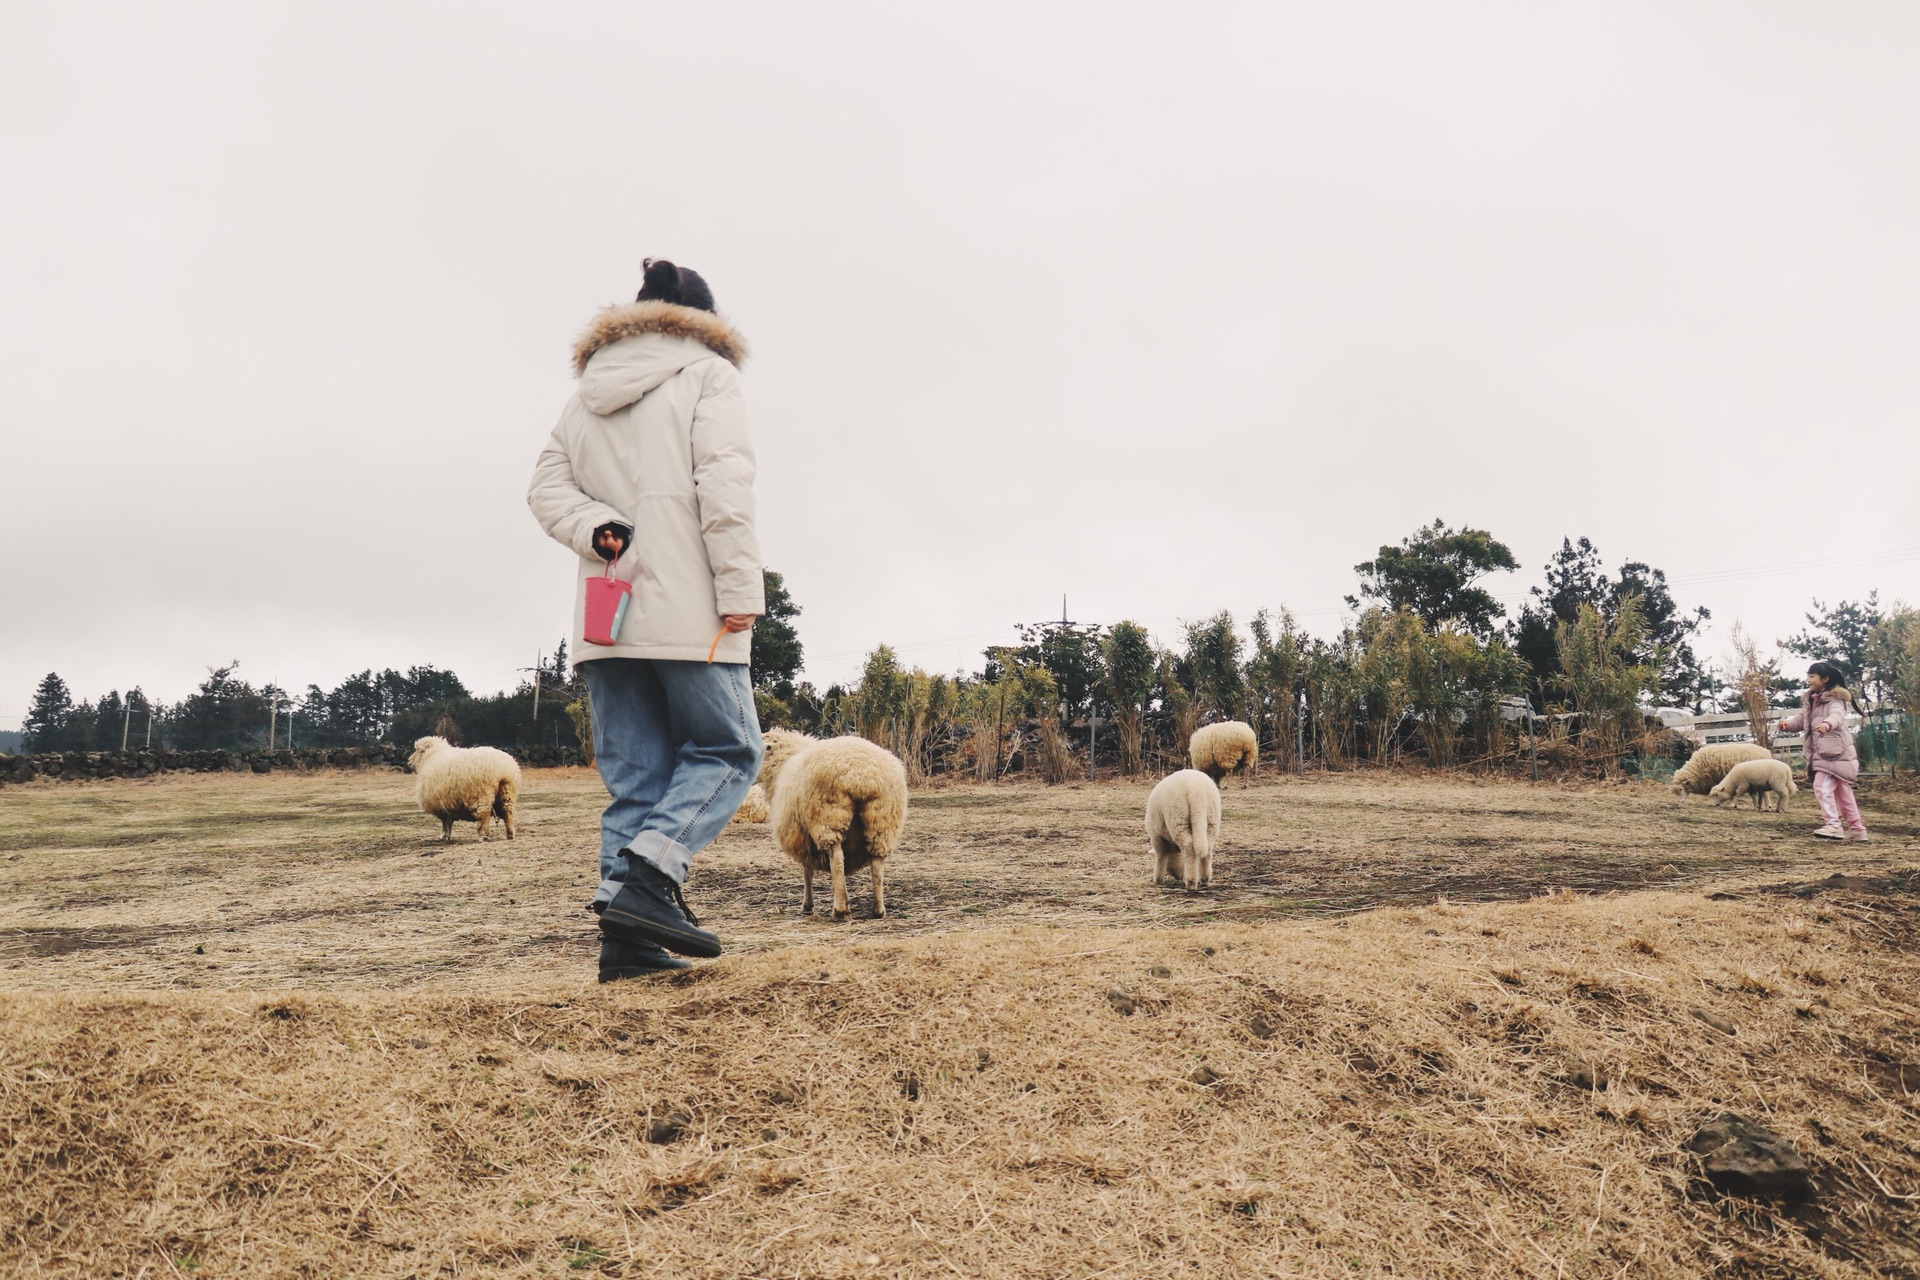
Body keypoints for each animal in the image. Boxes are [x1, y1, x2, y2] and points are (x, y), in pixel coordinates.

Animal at [756, 729, 906, 921]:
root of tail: (861, 775)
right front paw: (845, 897)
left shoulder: (801, 836)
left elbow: (807, 870)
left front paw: (807, 905)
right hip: (882, 820)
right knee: (876, 864)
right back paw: (878, 910)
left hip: (828, 817)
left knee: (836, 858)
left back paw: (839, 910)